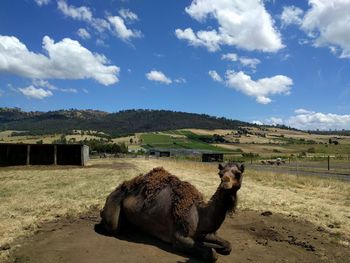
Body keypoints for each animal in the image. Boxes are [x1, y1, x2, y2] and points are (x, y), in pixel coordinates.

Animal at [94, 163, 245, 262]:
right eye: (220, 174)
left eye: (238, 174)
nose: (225, 183)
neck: (200, 213)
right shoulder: (178, 237)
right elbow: (211, 254)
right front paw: (212, 250)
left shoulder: (204, 232)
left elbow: (228, 245)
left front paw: (220, 247)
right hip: (114, 203)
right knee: (112, 225)